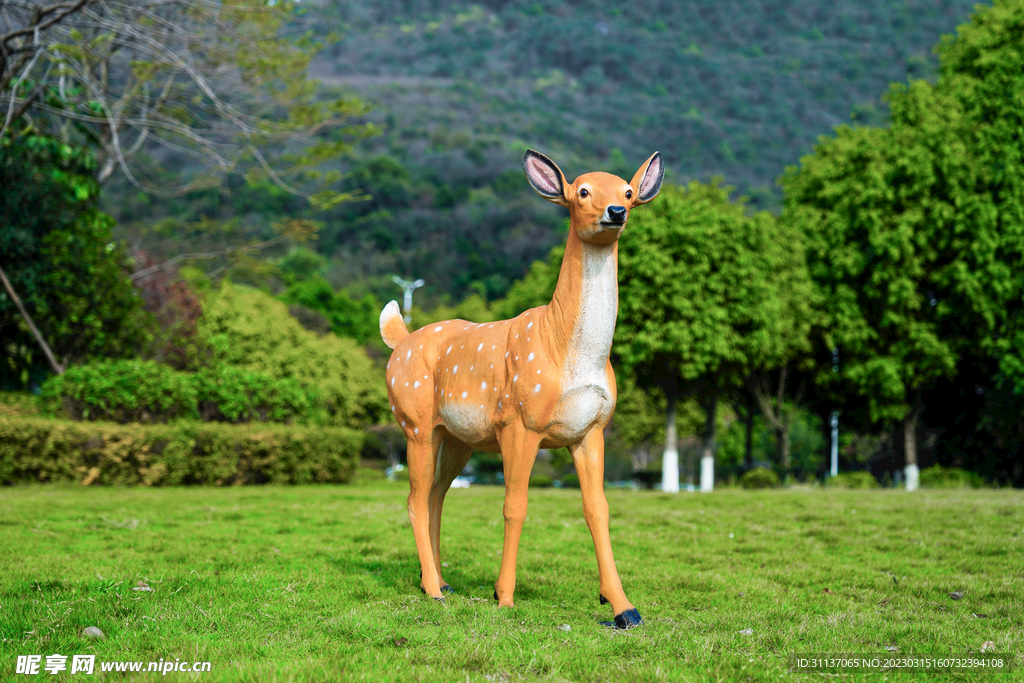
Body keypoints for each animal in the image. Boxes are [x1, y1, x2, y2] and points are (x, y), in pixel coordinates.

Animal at [378, 150, 663, 630]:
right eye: (582, 191)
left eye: (627, 192)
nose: (616, 213)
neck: (566, 349)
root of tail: (400, 340)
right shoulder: (518, 421)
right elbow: (515, 505)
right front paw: (504, 597)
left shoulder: (592, 430)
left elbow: (598, 509)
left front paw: (623, 607)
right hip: (413, 419)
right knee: (416, 500)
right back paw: (434, 590)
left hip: (456, 437)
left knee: (436, 495)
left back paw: (439, 583)